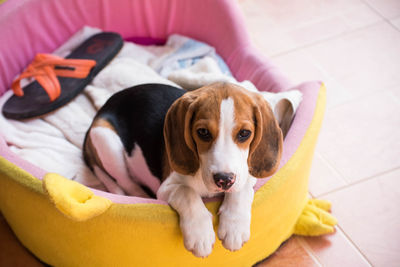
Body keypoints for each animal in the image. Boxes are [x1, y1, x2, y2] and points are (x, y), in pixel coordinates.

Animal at [83, 82, 282, 258]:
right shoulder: (166, 187)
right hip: (107, 142)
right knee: (126, 182)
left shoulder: (246, 175)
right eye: (203, 132)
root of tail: (100, 112)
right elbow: (186, 192)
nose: (223, 180)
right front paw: (200, 234)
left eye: (244, 134)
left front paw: (234, 226)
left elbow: (241, 190)